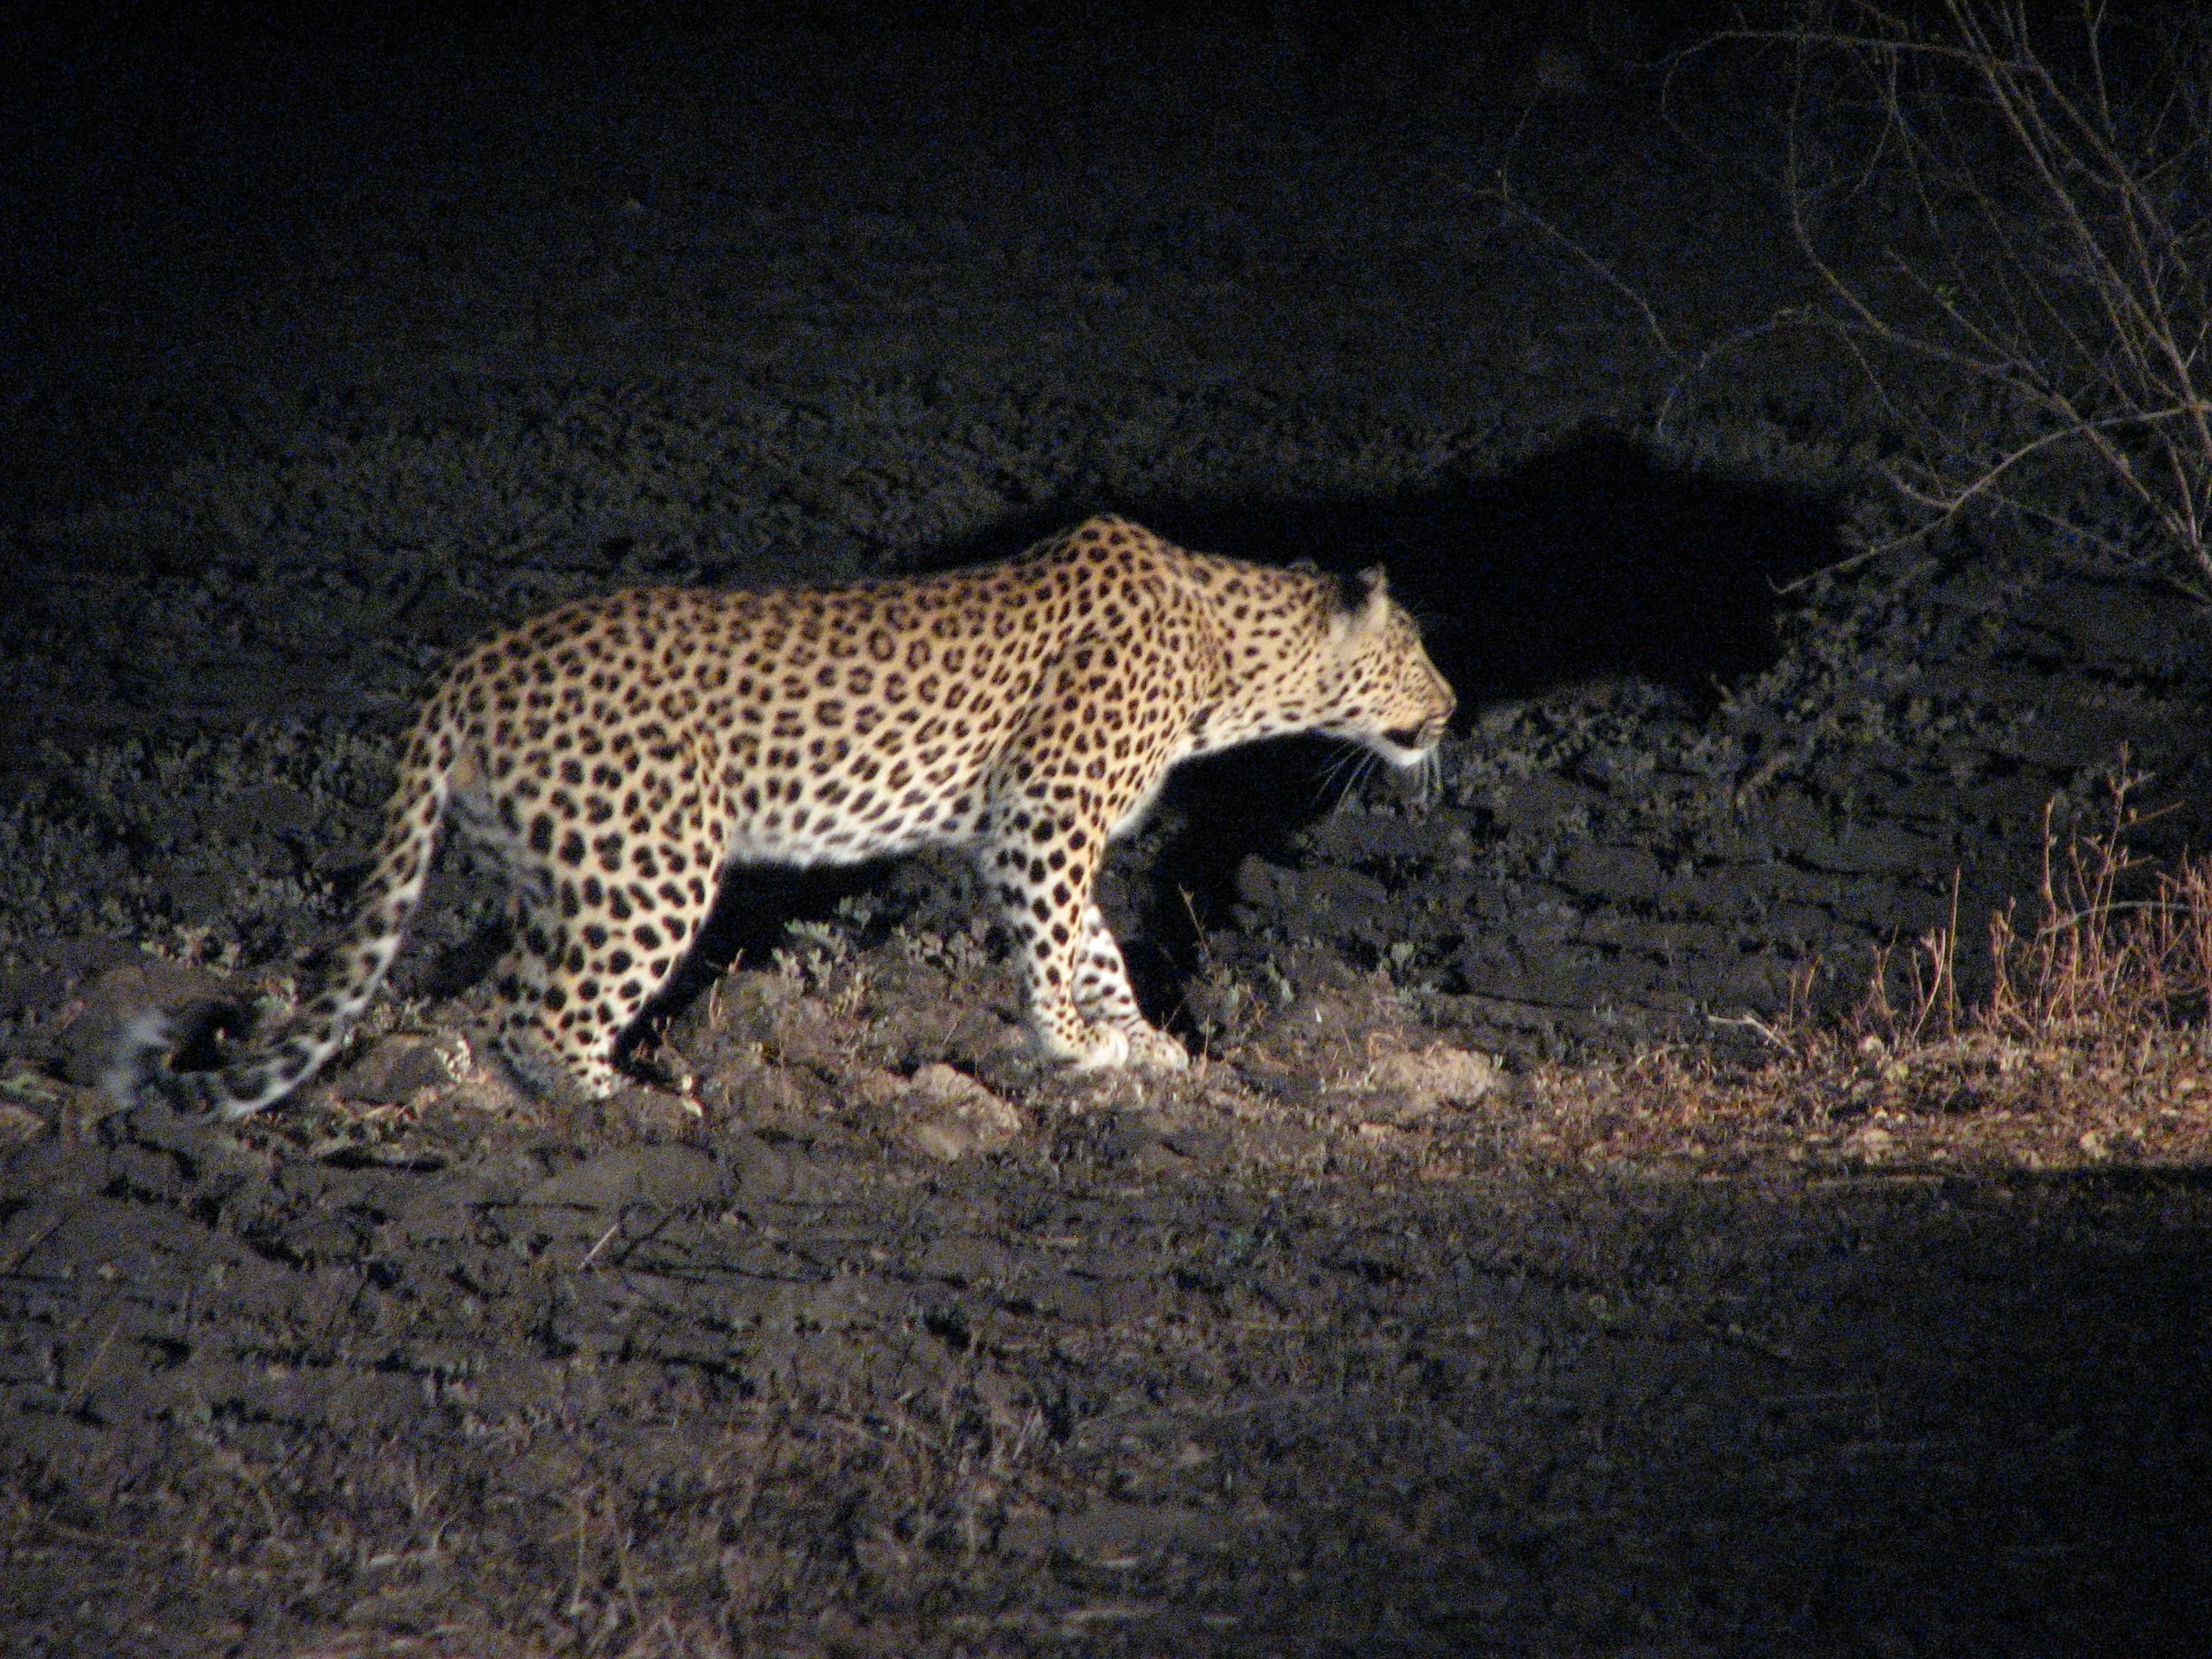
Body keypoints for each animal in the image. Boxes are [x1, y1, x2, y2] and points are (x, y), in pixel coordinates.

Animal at [107, 514, 1455, 1120]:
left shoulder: (1028, 829)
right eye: (1417, 650)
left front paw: (1135, 1042)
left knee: (503, 998)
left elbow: (1096, 942)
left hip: (564, 869)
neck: (1232, 660)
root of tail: (466, 667)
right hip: (652, 868)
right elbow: (1060, 941)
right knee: (549, 1011)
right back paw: (632, 1107)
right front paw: (1076, 1044)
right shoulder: (1044, 819)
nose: (1451, 707)